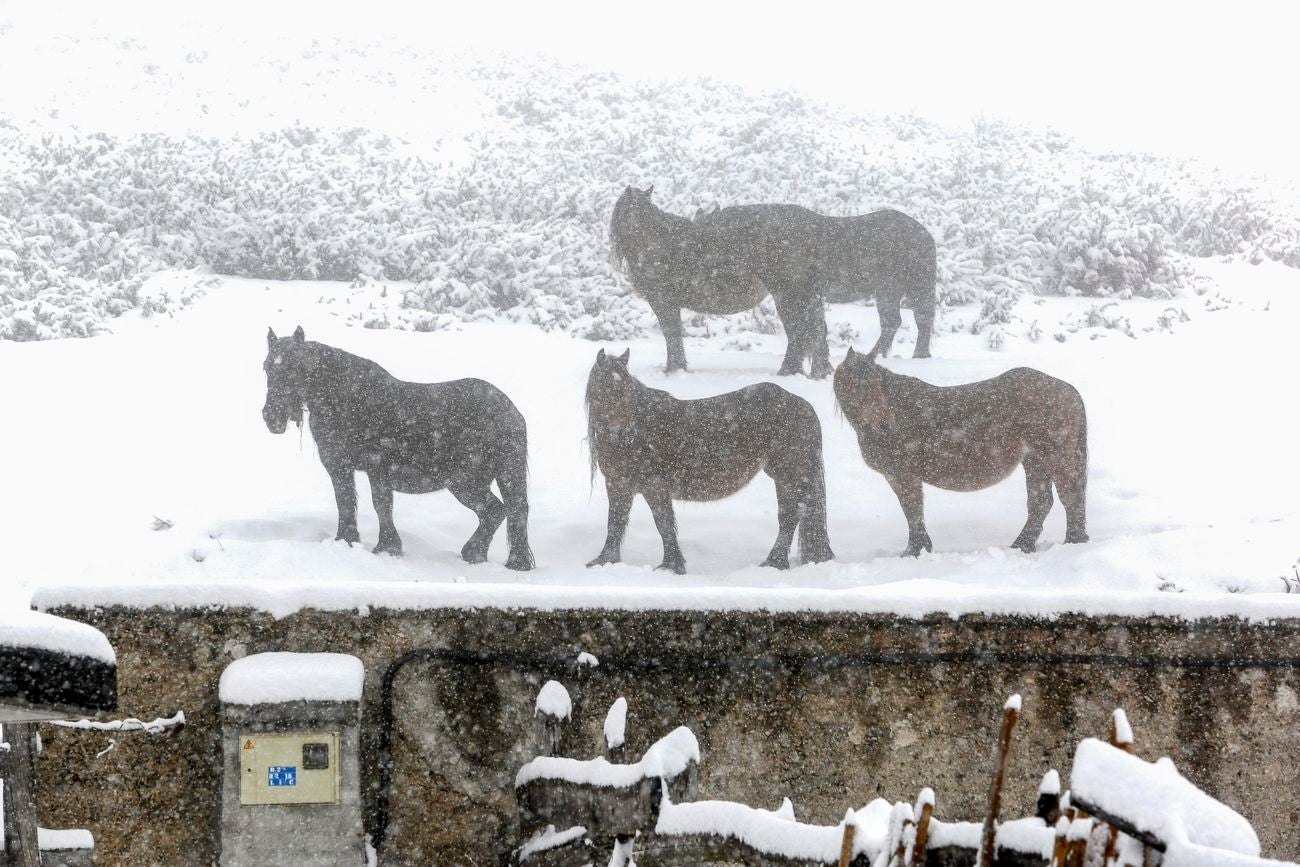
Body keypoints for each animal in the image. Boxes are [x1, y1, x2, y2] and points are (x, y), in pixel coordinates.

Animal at [262, 324, 533, 569]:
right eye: (266, 367)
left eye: (296, 367)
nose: (271, 417)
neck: (347, 400)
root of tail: (512, 410)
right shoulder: (339, 467)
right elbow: (345, 501)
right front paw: (346, 540)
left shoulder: (377, 468)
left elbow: (381, 505)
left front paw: (386, 548)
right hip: (470, 482)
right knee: (496, 511)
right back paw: (476, 555)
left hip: (476, 479)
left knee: (506, 510)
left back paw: (503, 560)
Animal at [587, 348, 832, 571]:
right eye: (607, 386)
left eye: (628, 387)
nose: (626, 429)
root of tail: (802, 404)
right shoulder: (618, 485)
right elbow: (615, 523)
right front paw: (605, 560)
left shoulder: (654, 487)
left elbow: (663, 524)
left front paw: (671, 566)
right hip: (785, 477)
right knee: (792, 514)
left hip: (789, 474)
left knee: (790, 516)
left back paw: (774, 563)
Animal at [608, 187, 935, 379]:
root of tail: (923, 232)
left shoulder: (663, 301)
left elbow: (671, 334)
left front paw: (674, 368)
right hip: (884, 291)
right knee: (891, 323)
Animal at [832, 350, 1086, 558]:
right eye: (856, 385)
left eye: (877, 384)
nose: (886, 424)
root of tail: (1067, 388)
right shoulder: (897, 475)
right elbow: (911, 510)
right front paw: (920, 548)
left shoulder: (903, 474)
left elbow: (912, 510)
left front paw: (914, 551)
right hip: (1035, 460)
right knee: (1041, 502)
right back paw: (1022, 545)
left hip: (1054, 457)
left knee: (1069, 496)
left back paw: (1072, 542)